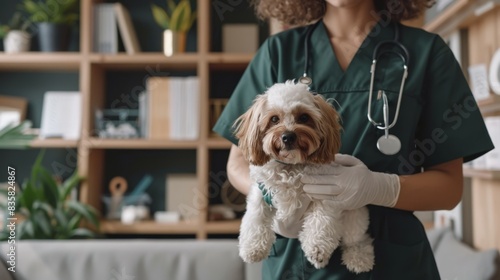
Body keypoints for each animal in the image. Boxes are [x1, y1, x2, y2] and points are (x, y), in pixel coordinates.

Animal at [232, 80, 374, 272]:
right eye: (274, 119)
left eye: (304, 117)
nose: (288, 136)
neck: (291, 167)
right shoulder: (261, 192)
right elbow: (255, 217)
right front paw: (252, 248)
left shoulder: (325, 194)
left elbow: (321, 222)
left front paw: (317, 249)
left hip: (354, 216)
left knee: (357, 239)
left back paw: (358, 257)